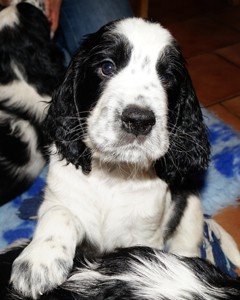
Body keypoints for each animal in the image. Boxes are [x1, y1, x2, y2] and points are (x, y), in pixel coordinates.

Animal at [8, 16, 231, 298]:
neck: (114, 174)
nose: (139, 120)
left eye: (167, 77)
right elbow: (59, 213)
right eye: (107, 67)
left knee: (187, 242)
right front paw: (37, 263)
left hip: (190, 207)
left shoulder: (146, 234)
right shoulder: (59, 195)